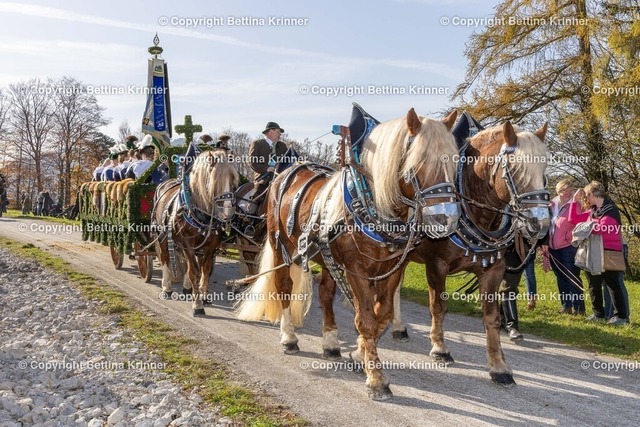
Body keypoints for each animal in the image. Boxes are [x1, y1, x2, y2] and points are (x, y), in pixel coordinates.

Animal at [152, 149, 239, 316]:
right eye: (214, 182)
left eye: (233, 182)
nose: (227, 214)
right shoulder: (187, 243)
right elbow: (194, 272)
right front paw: (197, 305)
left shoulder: (212, 244)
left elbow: (205, 269)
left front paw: (203, 296)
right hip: (162, 235)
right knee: (165, 257)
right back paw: (167, 287)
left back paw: (186, 288)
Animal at [236, 107, 461, 400]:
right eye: (419, 161)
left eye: (455, 161)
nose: (448, 219)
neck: (372, 203)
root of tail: (287, 171)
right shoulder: (357, 269)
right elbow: (365, 319)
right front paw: (376, 378)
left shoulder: (392, 270)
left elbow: (382, 315)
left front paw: (359, 353)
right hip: (281, 247)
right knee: (284, 287)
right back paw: (289, 338)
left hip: (326, 256)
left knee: (326, 293)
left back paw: (331, 343)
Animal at [391, 118, 551, 385]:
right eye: (515, 169)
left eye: (544, 170)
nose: (541, 223)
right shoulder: (437, 265)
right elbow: (438, 306)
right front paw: (440, 348)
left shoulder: (494, 270)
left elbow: (492, 317)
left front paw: (498, 365)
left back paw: (398, 326)